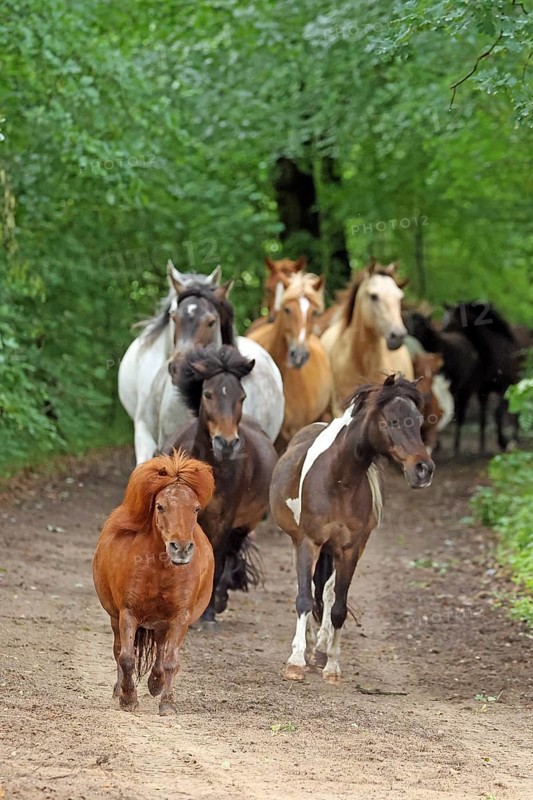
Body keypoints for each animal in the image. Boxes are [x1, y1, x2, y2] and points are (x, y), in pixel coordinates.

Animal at [93, 450, 215, 715]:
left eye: (196, 509)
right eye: (160, 506)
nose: (181, 548)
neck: (161, 570)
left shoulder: (180, 617)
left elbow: (170, 661)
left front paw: (166, 702)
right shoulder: (128, 613)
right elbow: (126, 658)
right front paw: (128, 699)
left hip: (161, 624)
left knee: (160, 650)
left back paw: (156, 683)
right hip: (116, 617)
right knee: (119, 650)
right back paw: (119, 689)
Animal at [164, 345, 277, 626]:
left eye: (242, 396)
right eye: (208, 394)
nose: (226, 443)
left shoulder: (224, 519)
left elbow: (216, 557)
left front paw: (208, 614)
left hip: (244, 524)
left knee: (230, 553)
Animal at [270, 374, 434, 684]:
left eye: (419, 421)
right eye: (394, 421)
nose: (423, 470)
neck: (338, 479)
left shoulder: (350, 549)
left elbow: (337, 607)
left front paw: (332, 665)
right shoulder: (308, 542)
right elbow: (304, 599)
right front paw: (296, 661)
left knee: (326, 590)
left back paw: (320, 647)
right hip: (301, 543)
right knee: (310, 588)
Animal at [442, 301, 521, 452]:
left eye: (452, 322)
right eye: (444, 320)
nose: (441, 335)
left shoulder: (503, 387)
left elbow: (498, 414)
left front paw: (503, 442)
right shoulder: (479, 389)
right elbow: (478, 418)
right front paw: (478, 447)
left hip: (514, 385)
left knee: (515, 413)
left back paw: (514, 439)